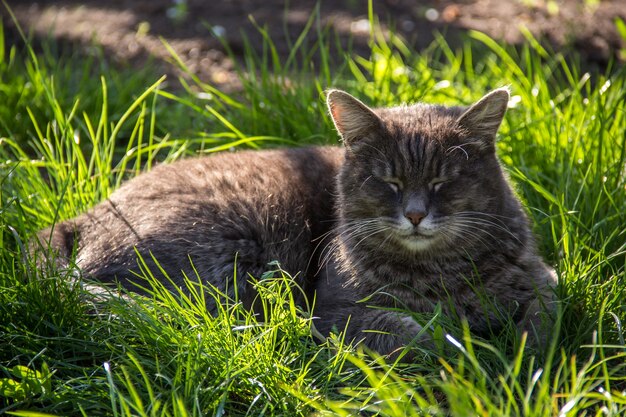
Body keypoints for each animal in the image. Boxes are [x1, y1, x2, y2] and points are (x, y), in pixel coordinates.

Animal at [36, 88, 552, 354]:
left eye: (445, 180)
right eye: (388, 181)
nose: (415, 214)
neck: (440, 271)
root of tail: (79, 217)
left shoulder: (542, 276)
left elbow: (545, 318)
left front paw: (526, 358)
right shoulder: (340, 310)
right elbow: (420, 334)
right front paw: (474, 355)